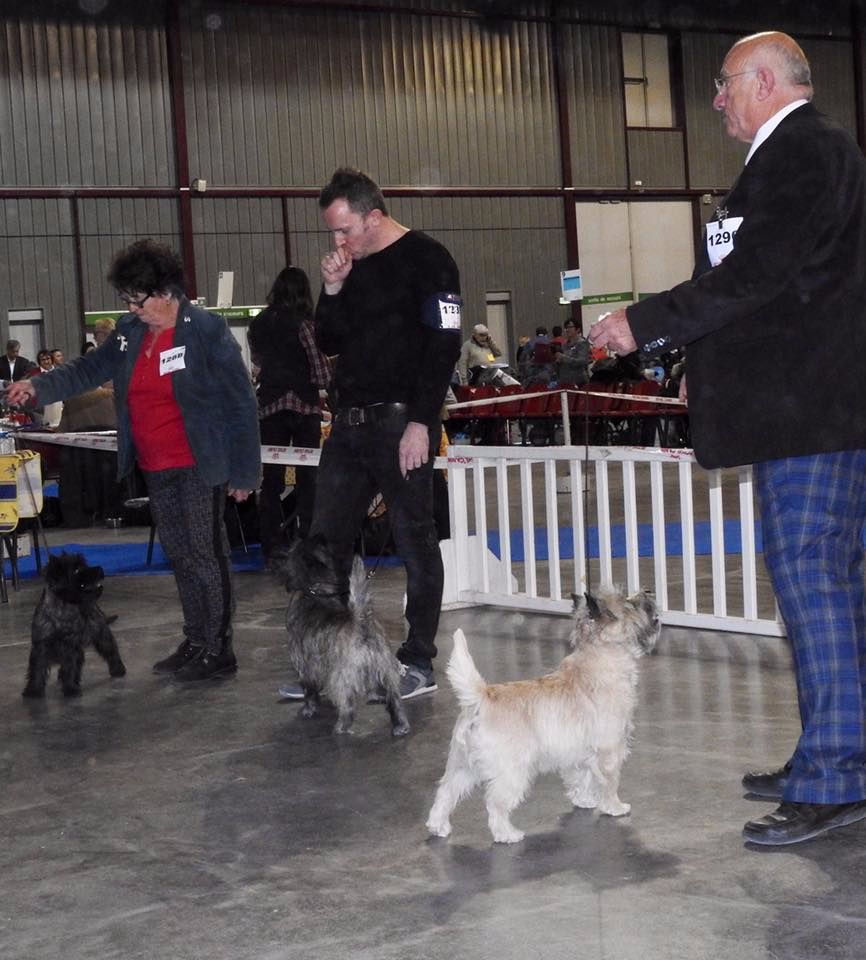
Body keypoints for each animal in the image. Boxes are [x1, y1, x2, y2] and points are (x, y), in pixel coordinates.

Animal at [21, 556, 125, 696]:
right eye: (76, 570)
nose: (100, 569)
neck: (61, 610)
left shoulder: (71, 647)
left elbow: (71, 667)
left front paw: (71, 688)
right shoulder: (40, 646)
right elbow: (37, 668)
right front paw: (34, 690)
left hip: (101, 634)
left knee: (111, 650)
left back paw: (118, 669)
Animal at [280, 536, 408, 740]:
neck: (316, 591)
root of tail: (361, 620)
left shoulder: (304, 664)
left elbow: (309, 689)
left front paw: (309, 709)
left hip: (342, 676)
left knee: (347, 704)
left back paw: (341, 727)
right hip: (387, 670)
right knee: (394, 699)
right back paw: (400, 725)